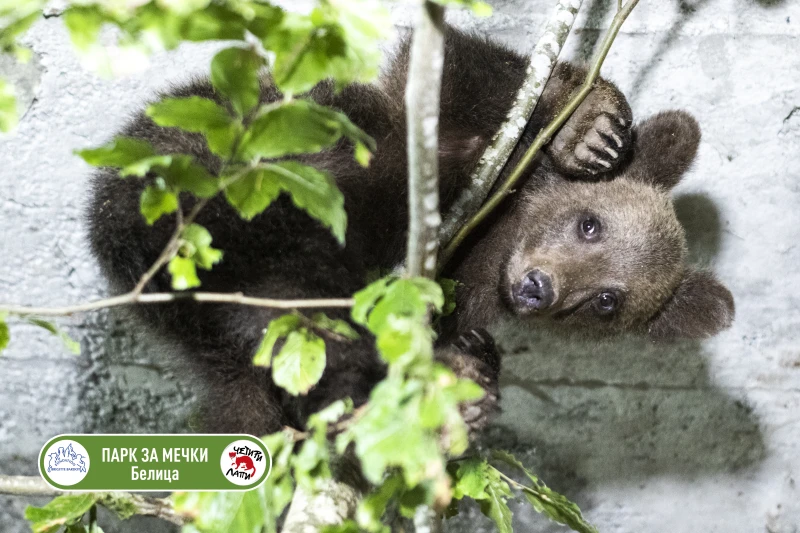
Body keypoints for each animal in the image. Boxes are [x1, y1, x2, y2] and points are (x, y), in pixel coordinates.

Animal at [87, 29, 736, 434]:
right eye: (589, 223)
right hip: (218, 188)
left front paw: (474, 357)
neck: (492, 235)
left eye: (607, 301)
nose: (538, 288)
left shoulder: (470, 282)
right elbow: (470, 71)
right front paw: (588, 126)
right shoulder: (434, 132)